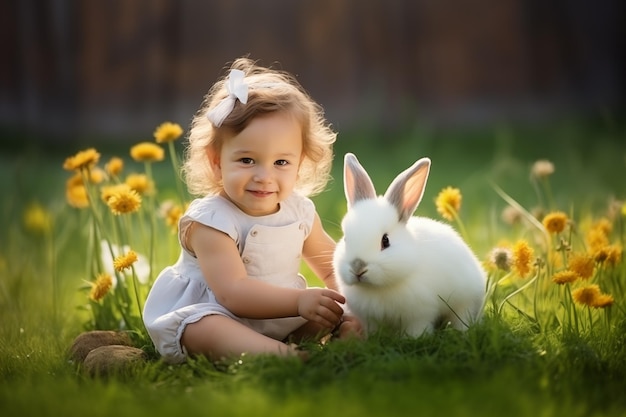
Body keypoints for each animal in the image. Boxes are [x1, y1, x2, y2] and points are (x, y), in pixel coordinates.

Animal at [334, 153, 486, 338]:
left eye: (385, 241)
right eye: (345, 238)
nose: (358, 268)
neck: (378, 288)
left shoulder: (420, 314)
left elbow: (417, 328)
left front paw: (414, 339)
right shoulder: (368, 319)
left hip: (465, 303)